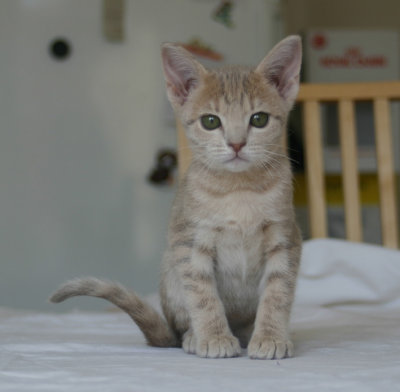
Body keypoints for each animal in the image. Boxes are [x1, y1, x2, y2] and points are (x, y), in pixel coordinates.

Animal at [51, 35, 304, 360]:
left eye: (258, 119)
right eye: (211, 121)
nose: (236, 144)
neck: (238, 190)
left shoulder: (286, 238)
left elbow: (277, 292)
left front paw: (271, 336)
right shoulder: (189, 241)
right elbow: (203, 295)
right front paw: (214, 337)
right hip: (170, 273)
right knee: (181, 323)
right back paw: (195, 336)